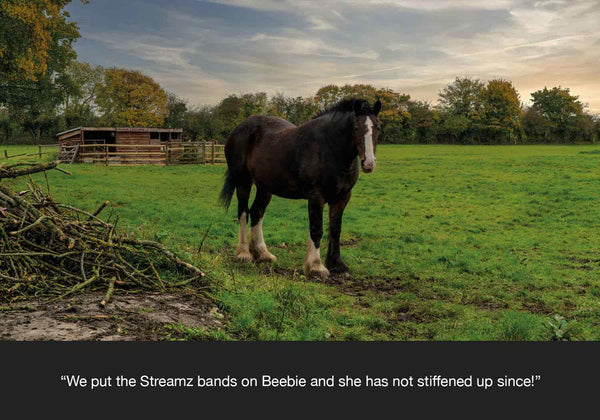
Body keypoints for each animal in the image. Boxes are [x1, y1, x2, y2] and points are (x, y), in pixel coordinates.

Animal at [219, 97, 380, 278]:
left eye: (378, 127)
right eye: (356, 128)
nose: (369, 163)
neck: (329, 148)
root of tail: (238, 129)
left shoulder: (342, 197)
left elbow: (335, 229)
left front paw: (336, 264)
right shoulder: (316, 196)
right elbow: (316, 229)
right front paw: (316, 266)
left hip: (265, 187)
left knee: (256, 212)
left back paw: (262, 253)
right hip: (243, 182)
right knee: (243, 212)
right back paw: (244, 253)